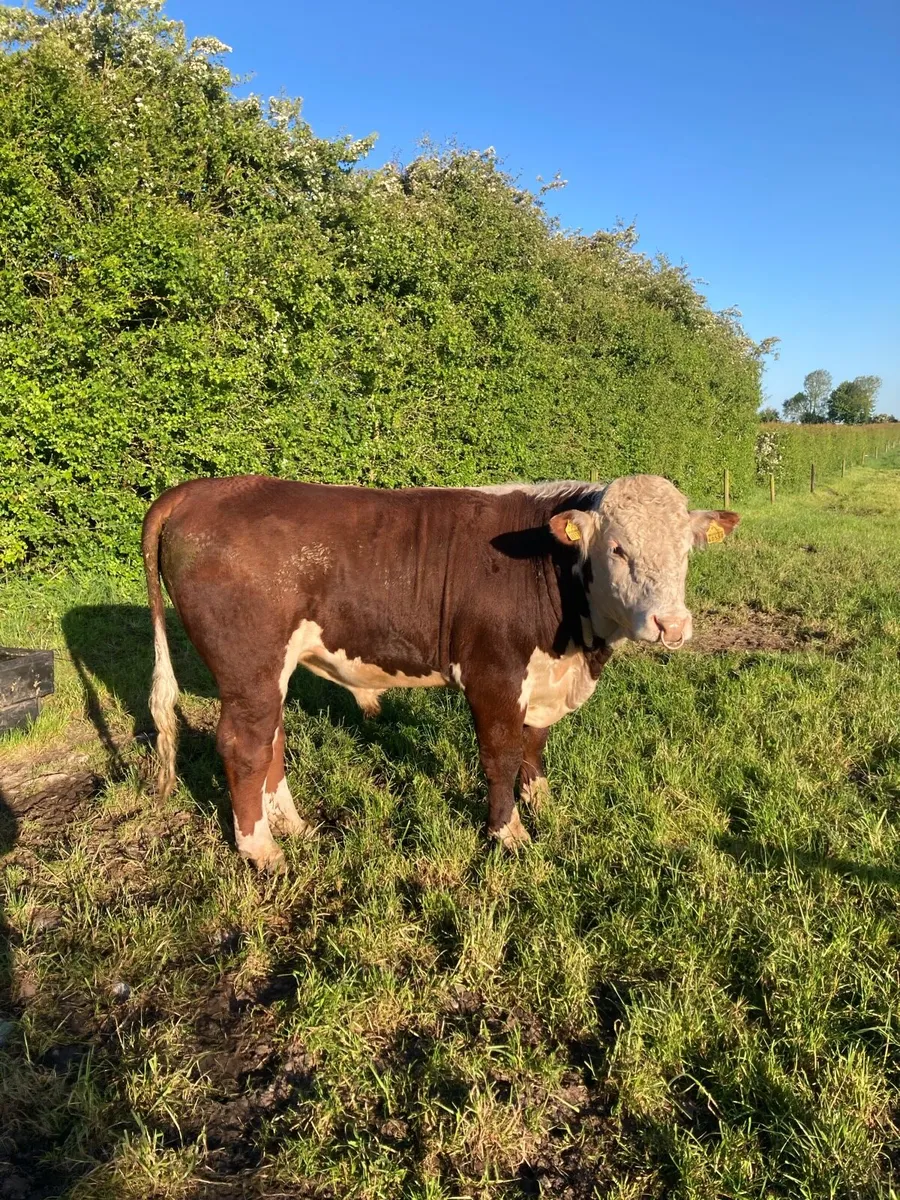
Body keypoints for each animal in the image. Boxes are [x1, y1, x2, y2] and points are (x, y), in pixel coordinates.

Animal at [142, 475, 739, 870]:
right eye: (617, 549)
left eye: (686, 550)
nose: (671, 625)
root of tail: (202, 489)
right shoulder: (494, 674)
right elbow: (501, 755)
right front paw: (508, 832)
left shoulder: (543, 678)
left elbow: (535, 742)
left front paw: (541, 801)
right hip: (248, 664)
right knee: (244, 745)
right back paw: (262, 850)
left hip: (270, 671)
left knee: (271, 739)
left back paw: (292, 825)